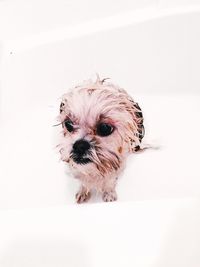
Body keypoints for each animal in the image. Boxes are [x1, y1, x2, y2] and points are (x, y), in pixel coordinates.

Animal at [56, 76, 144, 204]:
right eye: (68, 124)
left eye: (105, 128)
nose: (80, 145)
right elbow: (83, 182)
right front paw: (83, 192)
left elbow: (110, 181)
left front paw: (109, 194)